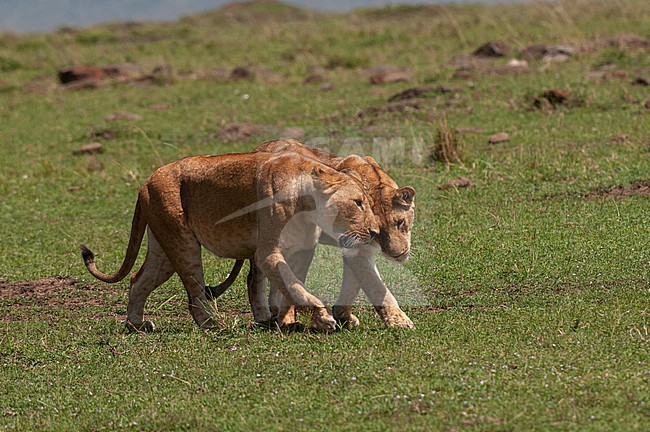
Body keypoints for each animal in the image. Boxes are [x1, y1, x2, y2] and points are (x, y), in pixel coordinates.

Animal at [80, 151, 379, 332]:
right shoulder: (267, 252)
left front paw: (288, 321)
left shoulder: (302, 250)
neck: (307, 201)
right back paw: (212, 324)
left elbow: (290, 287)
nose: (376, 232)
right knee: (194, 294)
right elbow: (294, 286)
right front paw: (323, 318)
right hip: (182, 243)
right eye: (358, 202)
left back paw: (136, 325)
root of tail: (146, 182)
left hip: (162, 249)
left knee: (138, 281)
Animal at [206, 139, 416, 329]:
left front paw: (343, 316)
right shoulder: (358, 248)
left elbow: (354, 283)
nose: (397, 254)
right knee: (255, 278)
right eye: (379, 232)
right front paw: (399, 320)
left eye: (399, 223)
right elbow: (375, 285)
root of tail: (258, 147)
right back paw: (266, 316)